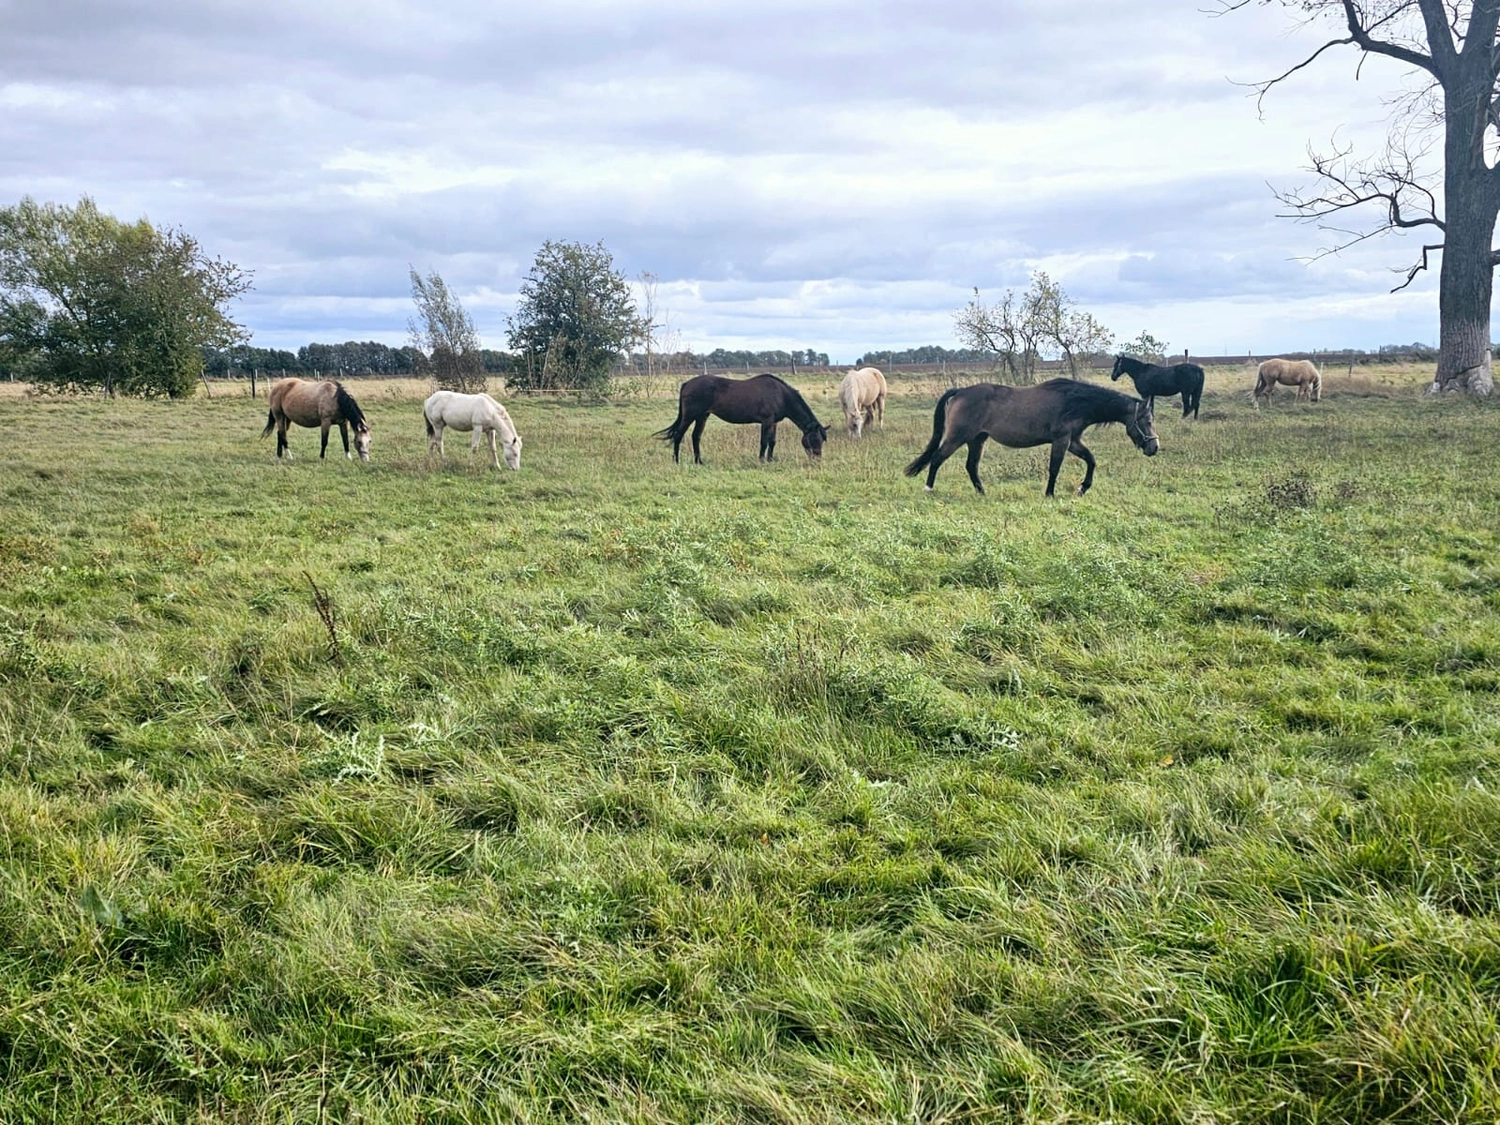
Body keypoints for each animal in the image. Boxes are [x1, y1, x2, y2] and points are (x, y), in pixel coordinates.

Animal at [655, 373, 830, 464]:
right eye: (814, 439)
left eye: (822, 440)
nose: (817, 460)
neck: (780, 395)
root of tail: (687, 383)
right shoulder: (766, 421)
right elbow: (764, 442)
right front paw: (761, 460)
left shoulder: (774, 423)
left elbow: (772, 442)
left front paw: (770, 459)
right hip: (690, 416)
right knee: (679, 435)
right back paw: (676, 461)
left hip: (702, 416)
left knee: (695, 437)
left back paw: (699, 461)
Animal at [904, 378, 1158, 497]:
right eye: (1147, 421)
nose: (1154, 447)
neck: (1075, 401)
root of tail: (961, 391)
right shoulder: (1062, 440)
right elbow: (1054, 468)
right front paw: (1050, 494)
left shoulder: (1073, 441)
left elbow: (1091, 460)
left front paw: (1082, 488)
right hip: (957, 437)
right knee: (937, 458)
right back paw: (928, 489)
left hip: (978, 439)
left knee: (971, 466)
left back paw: (982, 492)